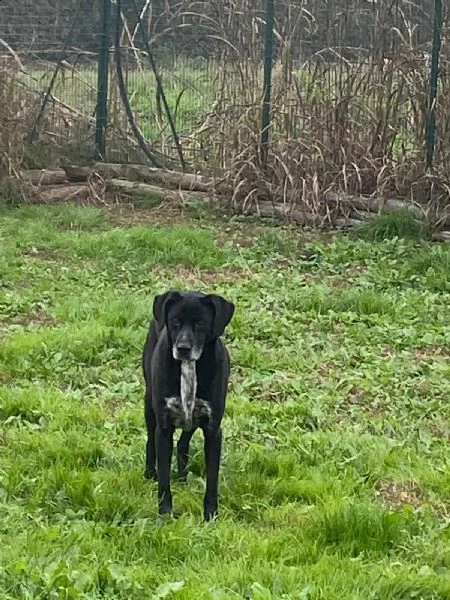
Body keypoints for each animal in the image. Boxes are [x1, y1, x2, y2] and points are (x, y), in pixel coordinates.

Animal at [142, 290, 236, 520]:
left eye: (200, 323)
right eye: (175, 322)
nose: (183, 348)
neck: (189, 367)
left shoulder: (213, 429)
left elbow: (212, 480)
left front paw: (210, 515)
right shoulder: (164, 428)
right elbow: (164, 479)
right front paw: (165, 513)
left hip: (191, 420)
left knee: (183, 443)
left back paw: (183, 477)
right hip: (149, 405)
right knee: (150, 439)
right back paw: (150, 473)